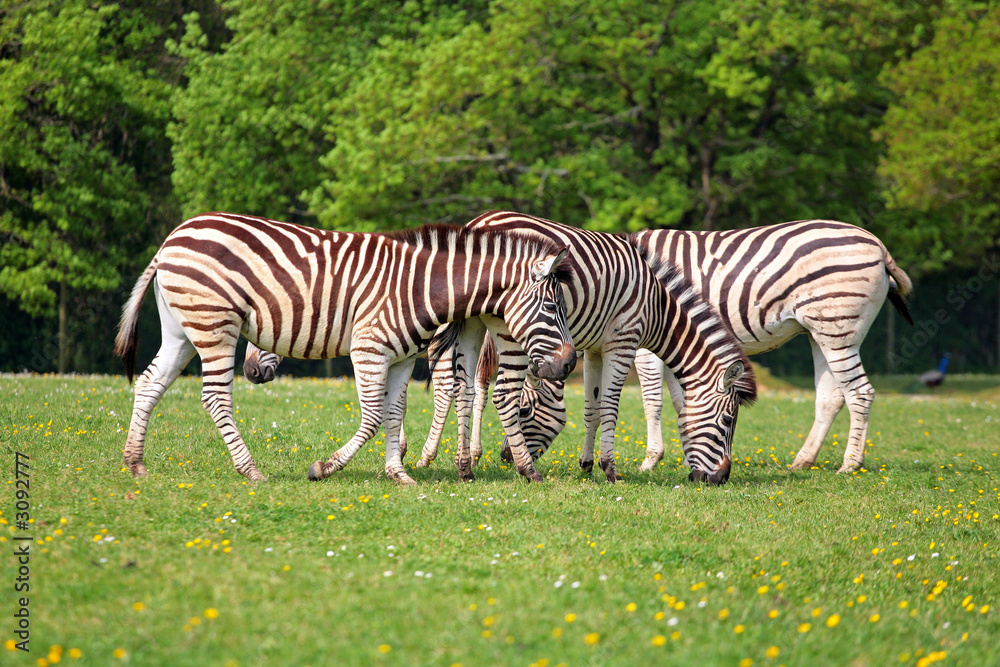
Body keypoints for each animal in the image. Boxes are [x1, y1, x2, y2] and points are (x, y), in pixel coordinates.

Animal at [113, 212, 577, 485]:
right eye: (553, 307)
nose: (570, 362)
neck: (420, 287)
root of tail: (173, 237)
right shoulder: (368, 348)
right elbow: (371, 418)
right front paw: (325, 467)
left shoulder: (402, 358)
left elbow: (394, 413)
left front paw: (398, 474)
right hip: (215, 325)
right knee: (214, 397)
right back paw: (251, 470)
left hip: (181, 329)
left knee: (151, 383)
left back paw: (135, 463)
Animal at [416, 211, 757, 484]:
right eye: (728, 421)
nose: (721, 478)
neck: (656, 309)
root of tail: (479, 222)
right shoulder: (623, 342)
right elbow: (609, 404)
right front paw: (609, 469)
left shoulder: (594, 349)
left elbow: (592, 407)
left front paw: (587, 464)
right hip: (509, 329)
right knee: (479, 388)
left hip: (471, 323)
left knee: (462, 387)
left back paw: (462, 466)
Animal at [463, 219, 912, 475]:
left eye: (524, 412)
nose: (505, 459)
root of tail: (877, 244)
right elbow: (665, 401)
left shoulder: (642, 346)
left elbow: (651, 401)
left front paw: (650, 460)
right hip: (821, 330)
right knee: (832, 396)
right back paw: (804, 460)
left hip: (837, 325)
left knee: (860, 392)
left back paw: (849, 465)